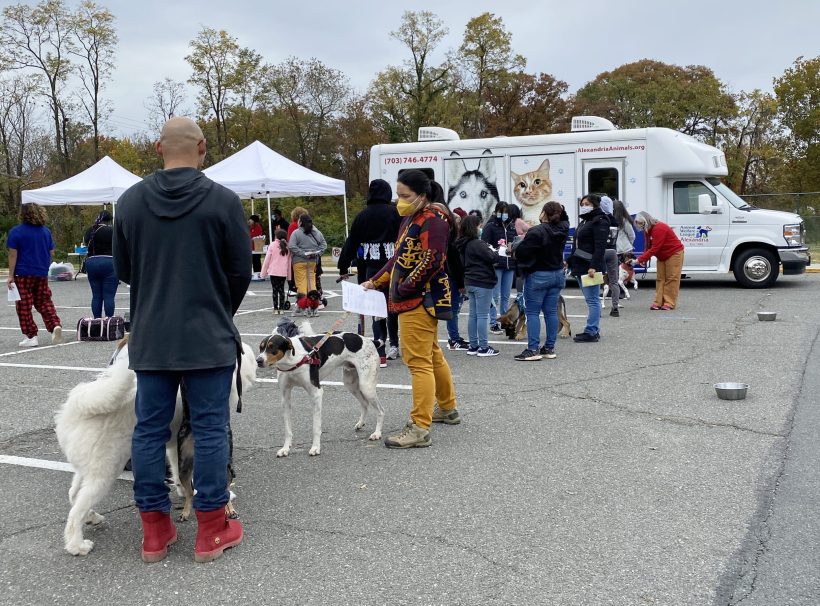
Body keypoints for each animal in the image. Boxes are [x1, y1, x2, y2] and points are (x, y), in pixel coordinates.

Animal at [56, 340, 255, 560]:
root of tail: (75, 410)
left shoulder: (175, 446)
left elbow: (178, 472)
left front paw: (182, 491)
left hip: (88, 469)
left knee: (74, 495)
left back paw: (92, 517)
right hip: (104, 473)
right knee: (76, 511)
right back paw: (77, 545)